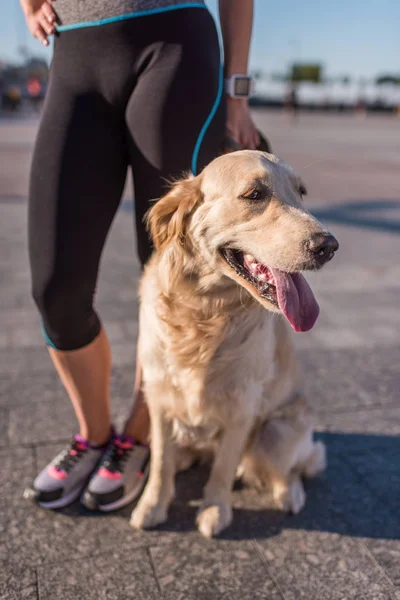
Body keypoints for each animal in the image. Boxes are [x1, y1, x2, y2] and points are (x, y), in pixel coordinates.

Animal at [131, 152, 338, 536]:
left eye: (301, 192)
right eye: (255, 194)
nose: (328, 246)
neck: (204, 311)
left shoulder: (242, 407)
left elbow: (224, 468)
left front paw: (215, 509)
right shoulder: (159, 397)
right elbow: (162, 462)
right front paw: (152, 505)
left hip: (278, 431)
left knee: (291, 469)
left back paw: (289, 494)